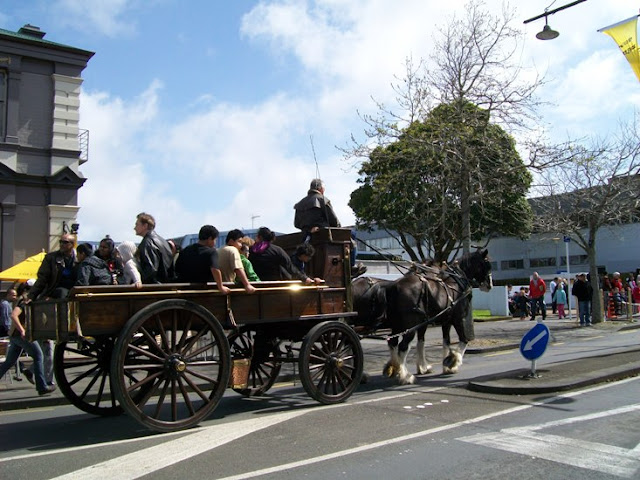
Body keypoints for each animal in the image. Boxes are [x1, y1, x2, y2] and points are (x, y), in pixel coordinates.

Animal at [351, 249, 492, 385]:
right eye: (487, 264)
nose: (489, 284)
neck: (455, 282)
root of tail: (394, 286)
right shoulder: (457, 319)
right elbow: (464, 340)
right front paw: (453, 362)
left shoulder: (442, 321)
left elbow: (439, 341)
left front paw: (432, 367)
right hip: (409, 325)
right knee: (402, 347)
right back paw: (404, 376)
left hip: (399, 325)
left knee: (393, 343)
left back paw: (393, 369)